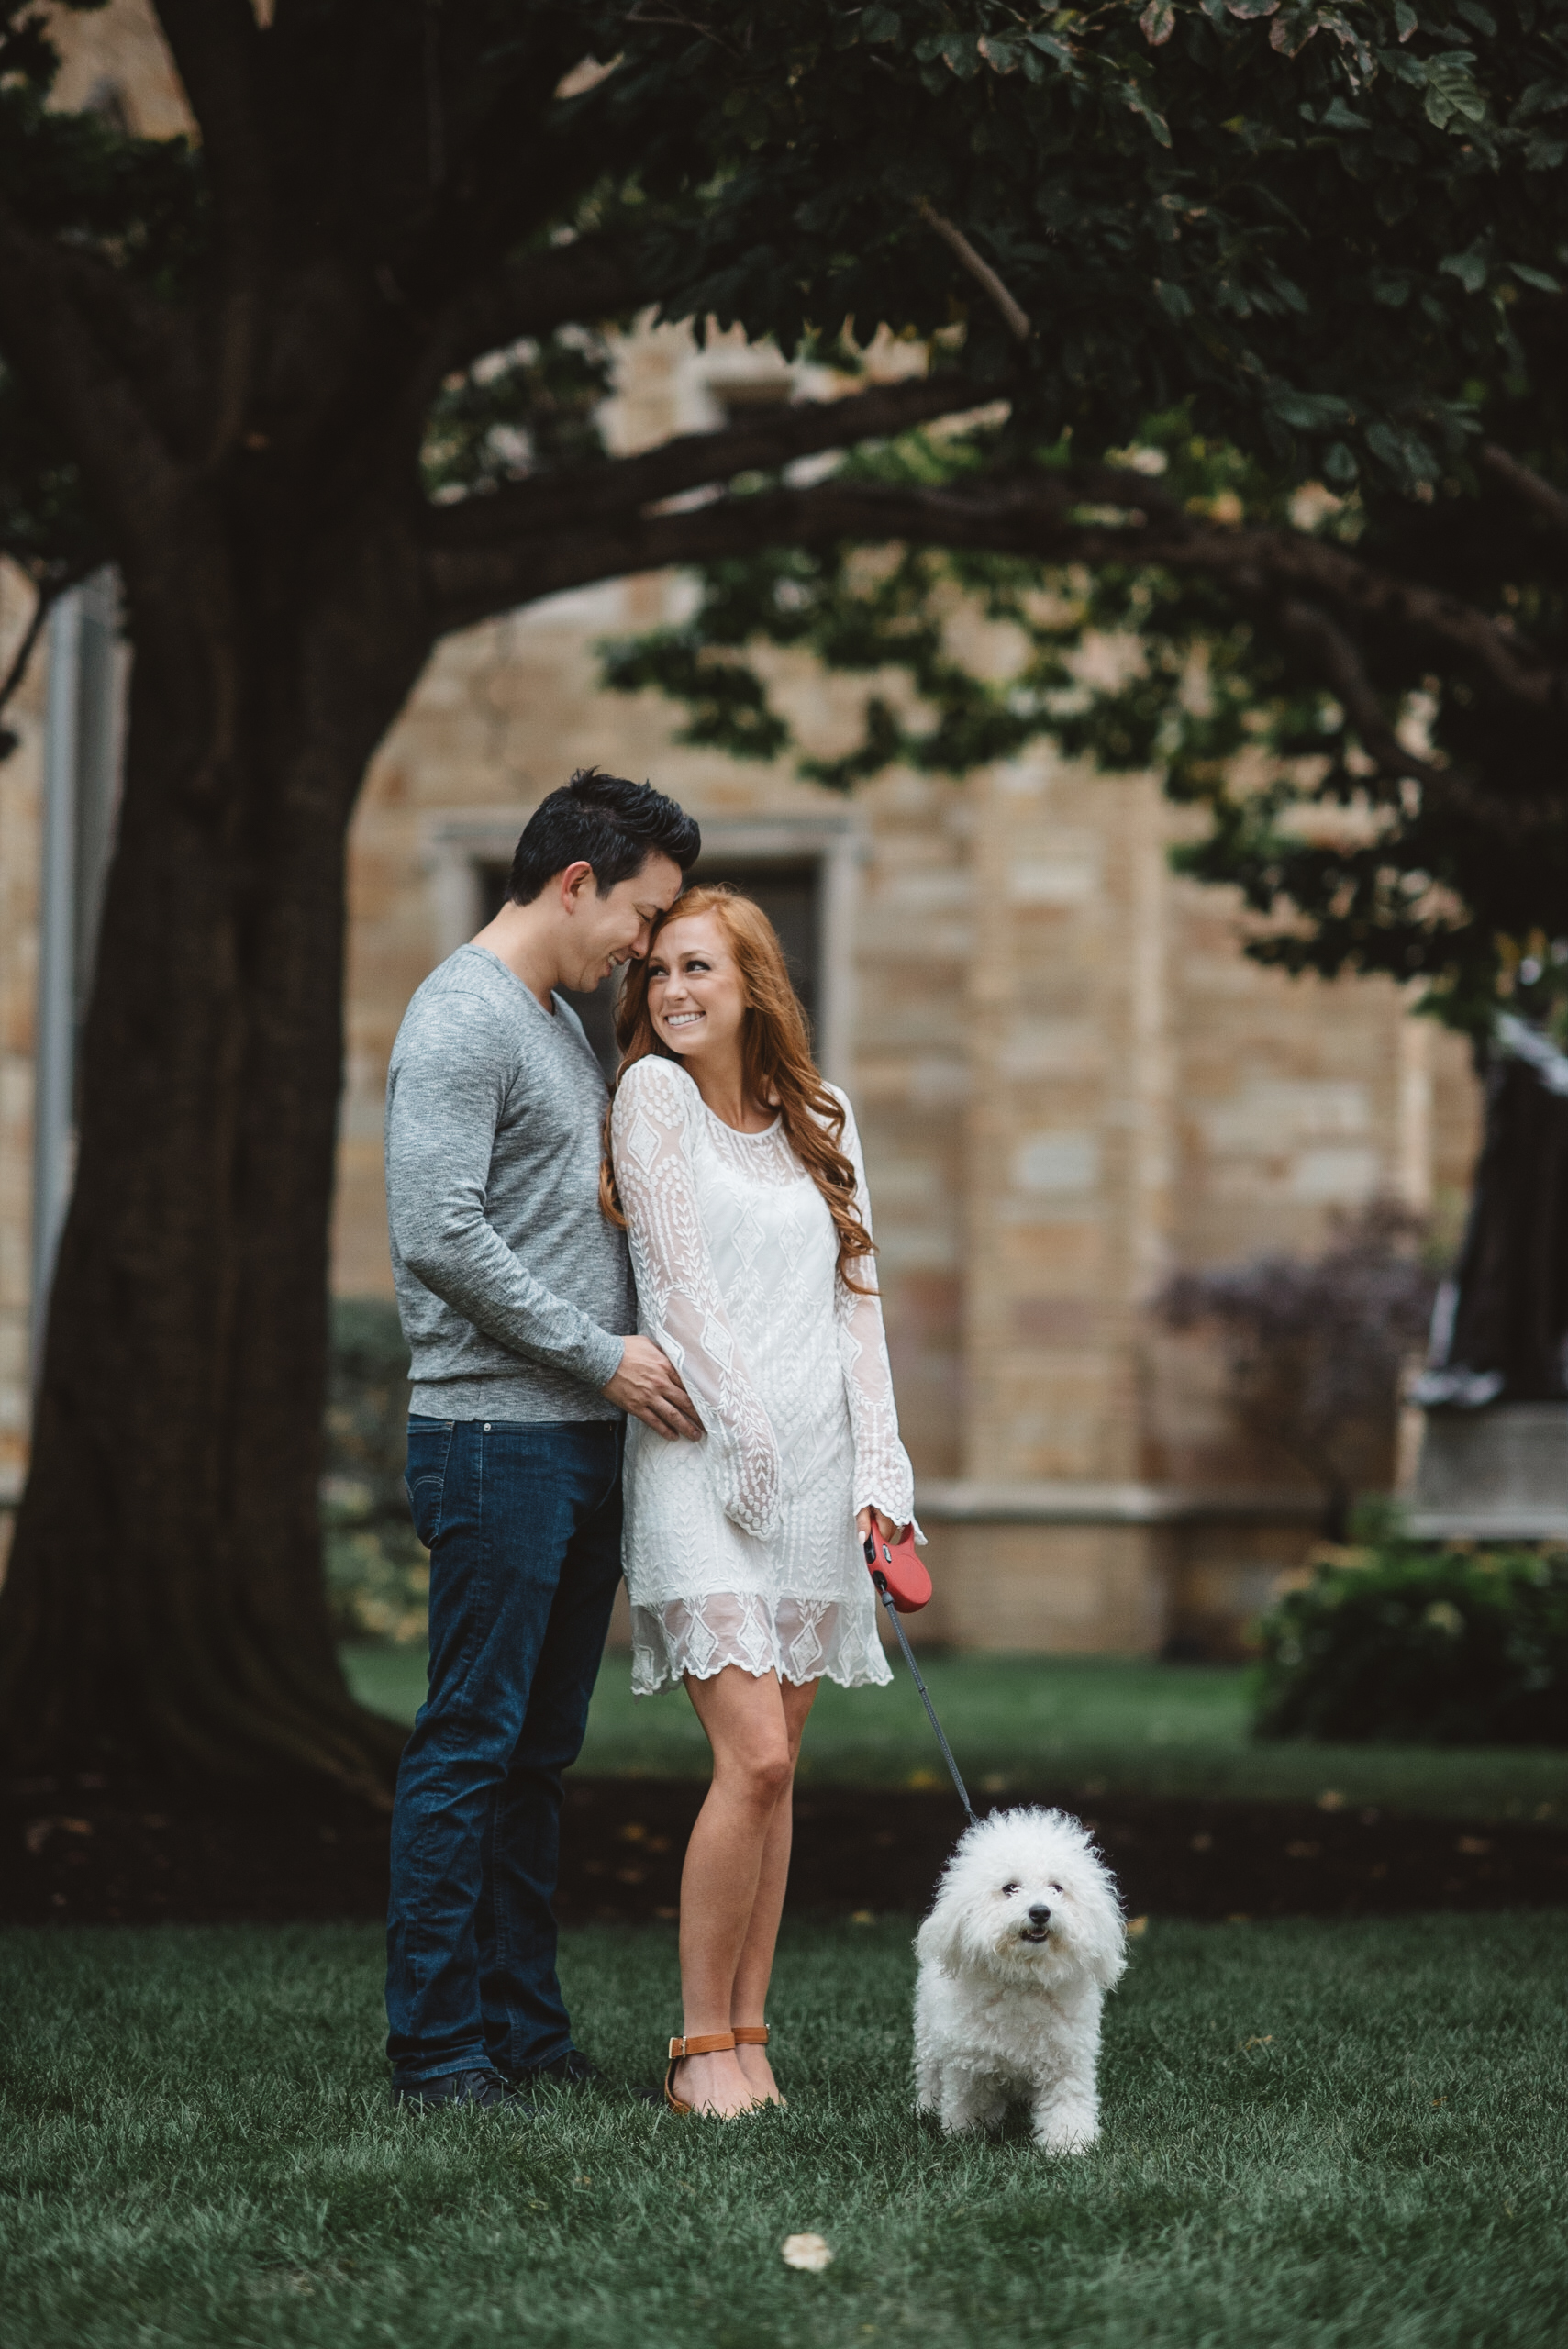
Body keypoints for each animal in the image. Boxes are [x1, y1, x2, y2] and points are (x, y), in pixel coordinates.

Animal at [910, 1804, 1121, 2151]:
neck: (1024, 1978)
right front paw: (966, 2131)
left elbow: (1067, 2099)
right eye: (1010, 1888)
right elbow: (969, 2098)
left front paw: (1068, 2142)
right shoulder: (969, 2059)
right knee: (929, 2073)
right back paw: (926, 2106)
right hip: (929, 2034)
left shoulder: (1067, 2057)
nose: (1040, 1912)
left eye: (1057, 1888)